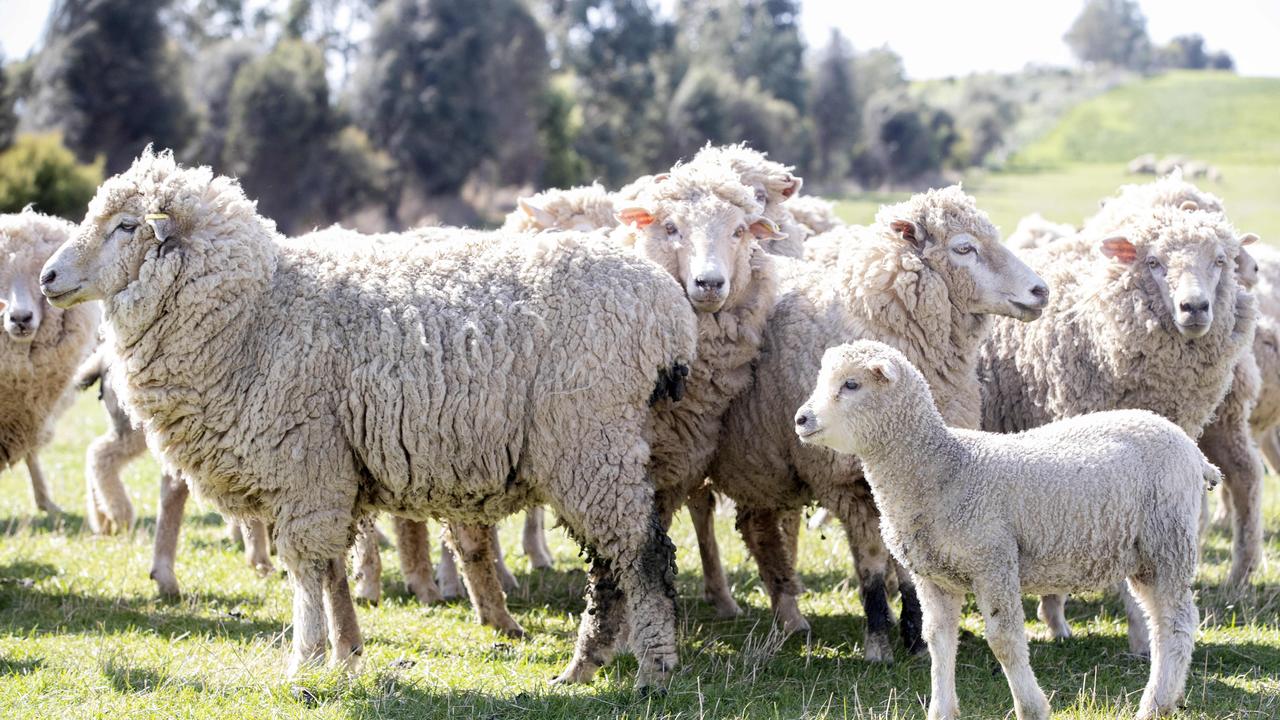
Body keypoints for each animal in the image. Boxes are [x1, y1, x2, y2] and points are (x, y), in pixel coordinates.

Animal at [42, 149, 701, 681]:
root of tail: (668, 308)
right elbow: (335, 572)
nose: (48, 277)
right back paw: (583, 668)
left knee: (641, 553)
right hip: (597, 450)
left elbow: (307, 570)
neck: (256, 313)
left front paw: (304, 663)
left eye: (126, 226)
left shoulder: (305, 467)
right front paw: (348, 656)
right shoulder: (333, 472)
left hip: (589, 442)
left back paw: (654, 670)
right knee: (611, 566)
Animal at [706, 183, 1044, 655]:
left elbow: (905, 562)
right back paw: (784, 616)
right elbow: (869, 560)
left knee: (760, 527)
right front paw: (879, 640)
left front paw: (915, 636)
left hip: (761, 462)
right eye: (964, 248)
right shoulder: (842, 477)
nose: (1040, 291)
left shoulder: (912, 475)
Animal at [798, 338, 1208, 717]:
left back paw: (1154, 704)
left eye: (851, 384)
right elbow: (939, 641)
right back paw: (1168, 697)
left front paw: (1031, 707)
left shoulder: (992, 562)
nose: (801, 419)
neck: (944, 467)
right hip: (1144, 556)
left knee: (1177, 625)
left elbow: (1005, 640)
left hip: (1168, 541)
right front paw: (941, 710)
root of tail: (1190, 447)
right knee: (1160, 624)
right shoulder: (936, 578)